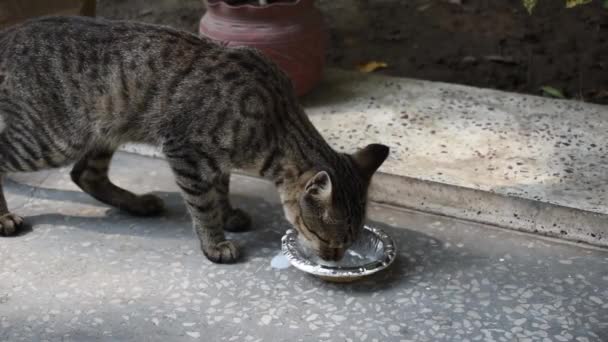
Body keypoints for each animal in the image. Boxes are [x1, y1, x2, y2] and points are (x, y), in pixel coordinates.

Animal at [0, 16, 390, 264]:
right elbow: (202, 205)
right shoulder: (185, 151)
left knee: (85, 175)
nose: (334, 258)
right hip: (53, 138)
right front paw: (215, 243)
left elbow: (220, 189)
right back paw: (5, 218)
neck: (274, 122)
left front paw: (227, 213)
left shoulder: (216, 159)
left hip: (103, 132)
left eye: (348, 242)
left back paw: (137, 203)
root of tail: (8, 34)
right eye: (328, 239)